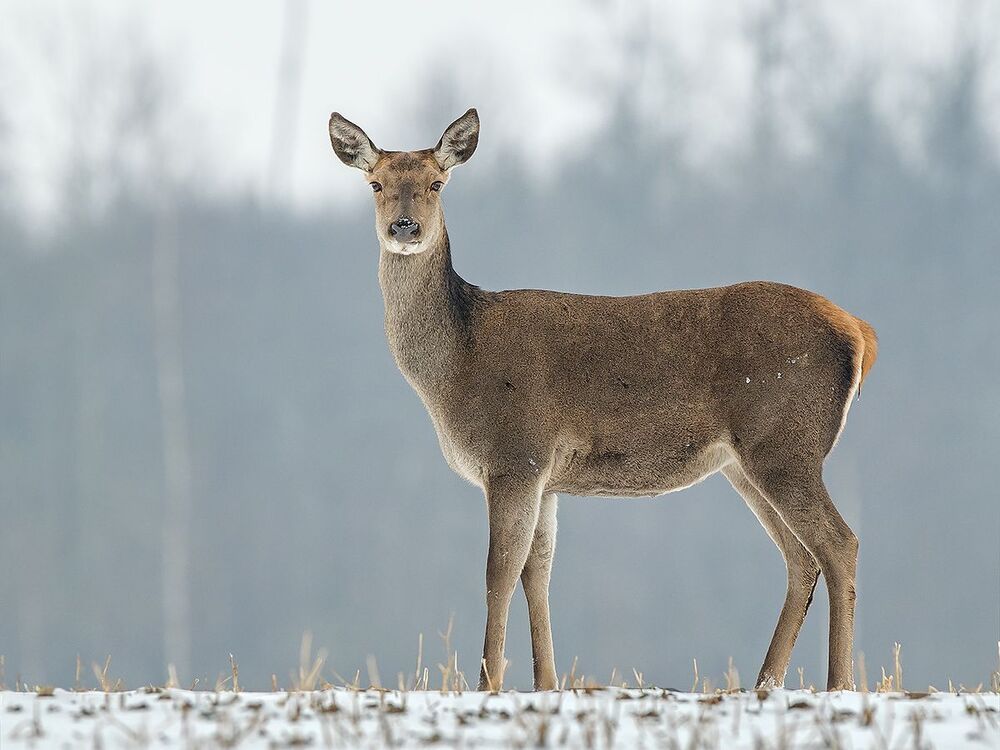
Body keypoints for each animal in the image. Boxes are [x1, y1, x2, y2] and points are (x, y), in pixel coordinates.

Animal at [328, 108, 877, 692]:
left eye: (436, 183)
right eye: (376, 184)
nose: (404, 228)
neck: (454, 367)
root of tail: (860, 333)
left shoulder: (514, 454)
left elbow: (498, 571)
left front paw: (487, 683)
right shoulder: (545, 477)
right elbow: (537, 571)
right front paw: (546, 681)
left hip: (786, 444)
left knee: (840, 543)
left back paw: (838, 683)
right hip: (748, 462)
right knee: (801, 556)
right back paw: (765, 682)